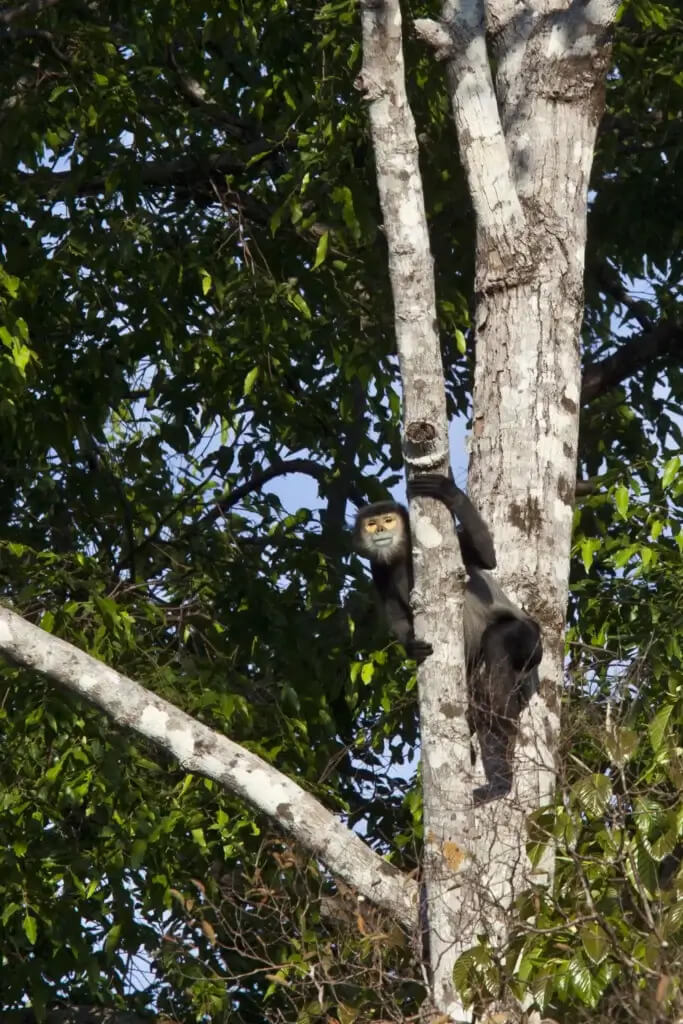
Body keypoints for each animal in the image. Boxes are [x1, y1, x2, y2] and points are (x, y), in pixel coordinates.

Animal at [352, 473, 542, 803]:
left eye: (389, 520)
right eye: (372, 524)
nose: (381, 532)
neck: (401, 553)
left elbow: (487, 558)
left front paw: (448, 490)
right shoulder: (378, 568)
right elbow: (395, 612)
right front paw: (411, 647)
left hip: (531, 642)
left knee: (496, 651)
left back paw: (501, 770)